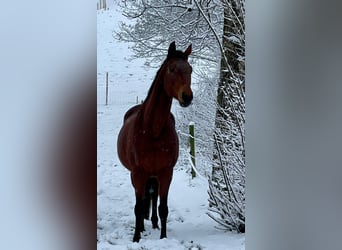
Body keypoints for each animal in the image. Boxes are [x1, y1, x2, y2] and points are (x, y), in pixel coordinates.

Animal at [117, 41, 192, 242]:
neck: (153, 130)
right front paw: (136, 237)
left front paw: (163, 237)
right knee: (144, 199)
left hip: (155, 175)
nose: (187, 97)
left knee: (153, 197)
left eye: (190, 69)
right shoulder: (137, 173)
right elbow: (138, 207)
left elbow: (163, 207)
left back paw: (155, 223)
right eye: (172, 69)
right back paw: (143, 227)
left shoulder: (166, 172)